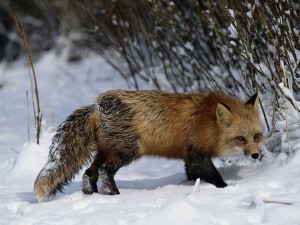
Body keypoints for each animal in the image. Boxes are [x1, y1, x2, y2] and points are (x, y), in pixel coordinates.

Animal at [34, 89, 264, 202]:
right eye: (240, 139)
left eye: (256, 136)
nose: (256, 156)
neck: (206, 122)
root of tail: (98, 106)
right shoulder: (197, 154)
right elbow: (214, 177)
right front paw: (227, 190)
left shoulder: (188, 156)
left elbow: (193, 176)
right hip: (126, 151)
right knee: (104, 171)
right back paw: (114, 195)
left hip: (105, 151)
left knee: (89, 172)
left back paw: (90, 196)